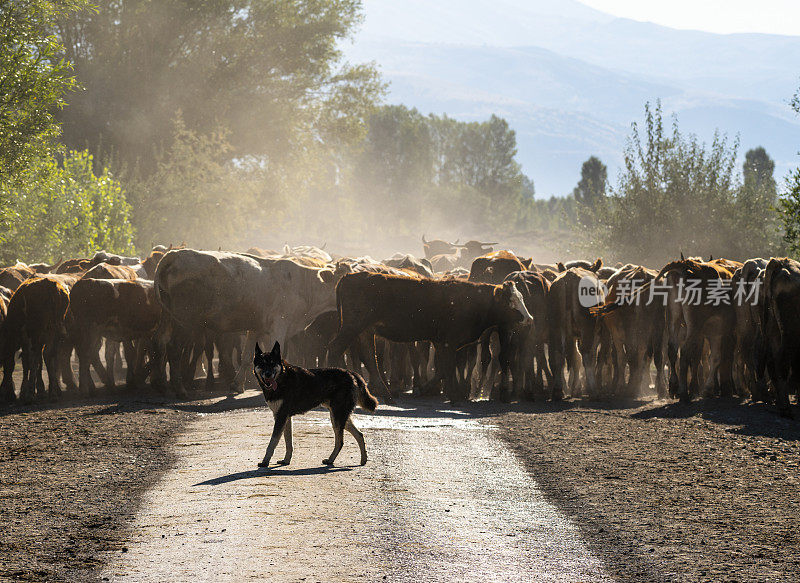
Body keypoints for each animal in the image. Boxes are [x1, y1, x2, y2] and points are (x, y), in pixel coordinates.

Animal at [253, 342, 378, 470]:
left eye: (272, 363)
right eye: (262, 364)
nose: (268, 374)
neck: (282, 377)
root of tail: (351, 373)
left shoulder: (281, 417)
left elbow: (272, 443)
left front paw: (265, 462)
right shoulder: (284, 418)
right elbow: (288, 442)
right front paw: (286, 460)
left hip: (337, 418)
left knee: (340, 442)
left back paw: (331, 460)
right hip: (339, 418)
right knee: (359, 435)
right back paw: (363, 460)